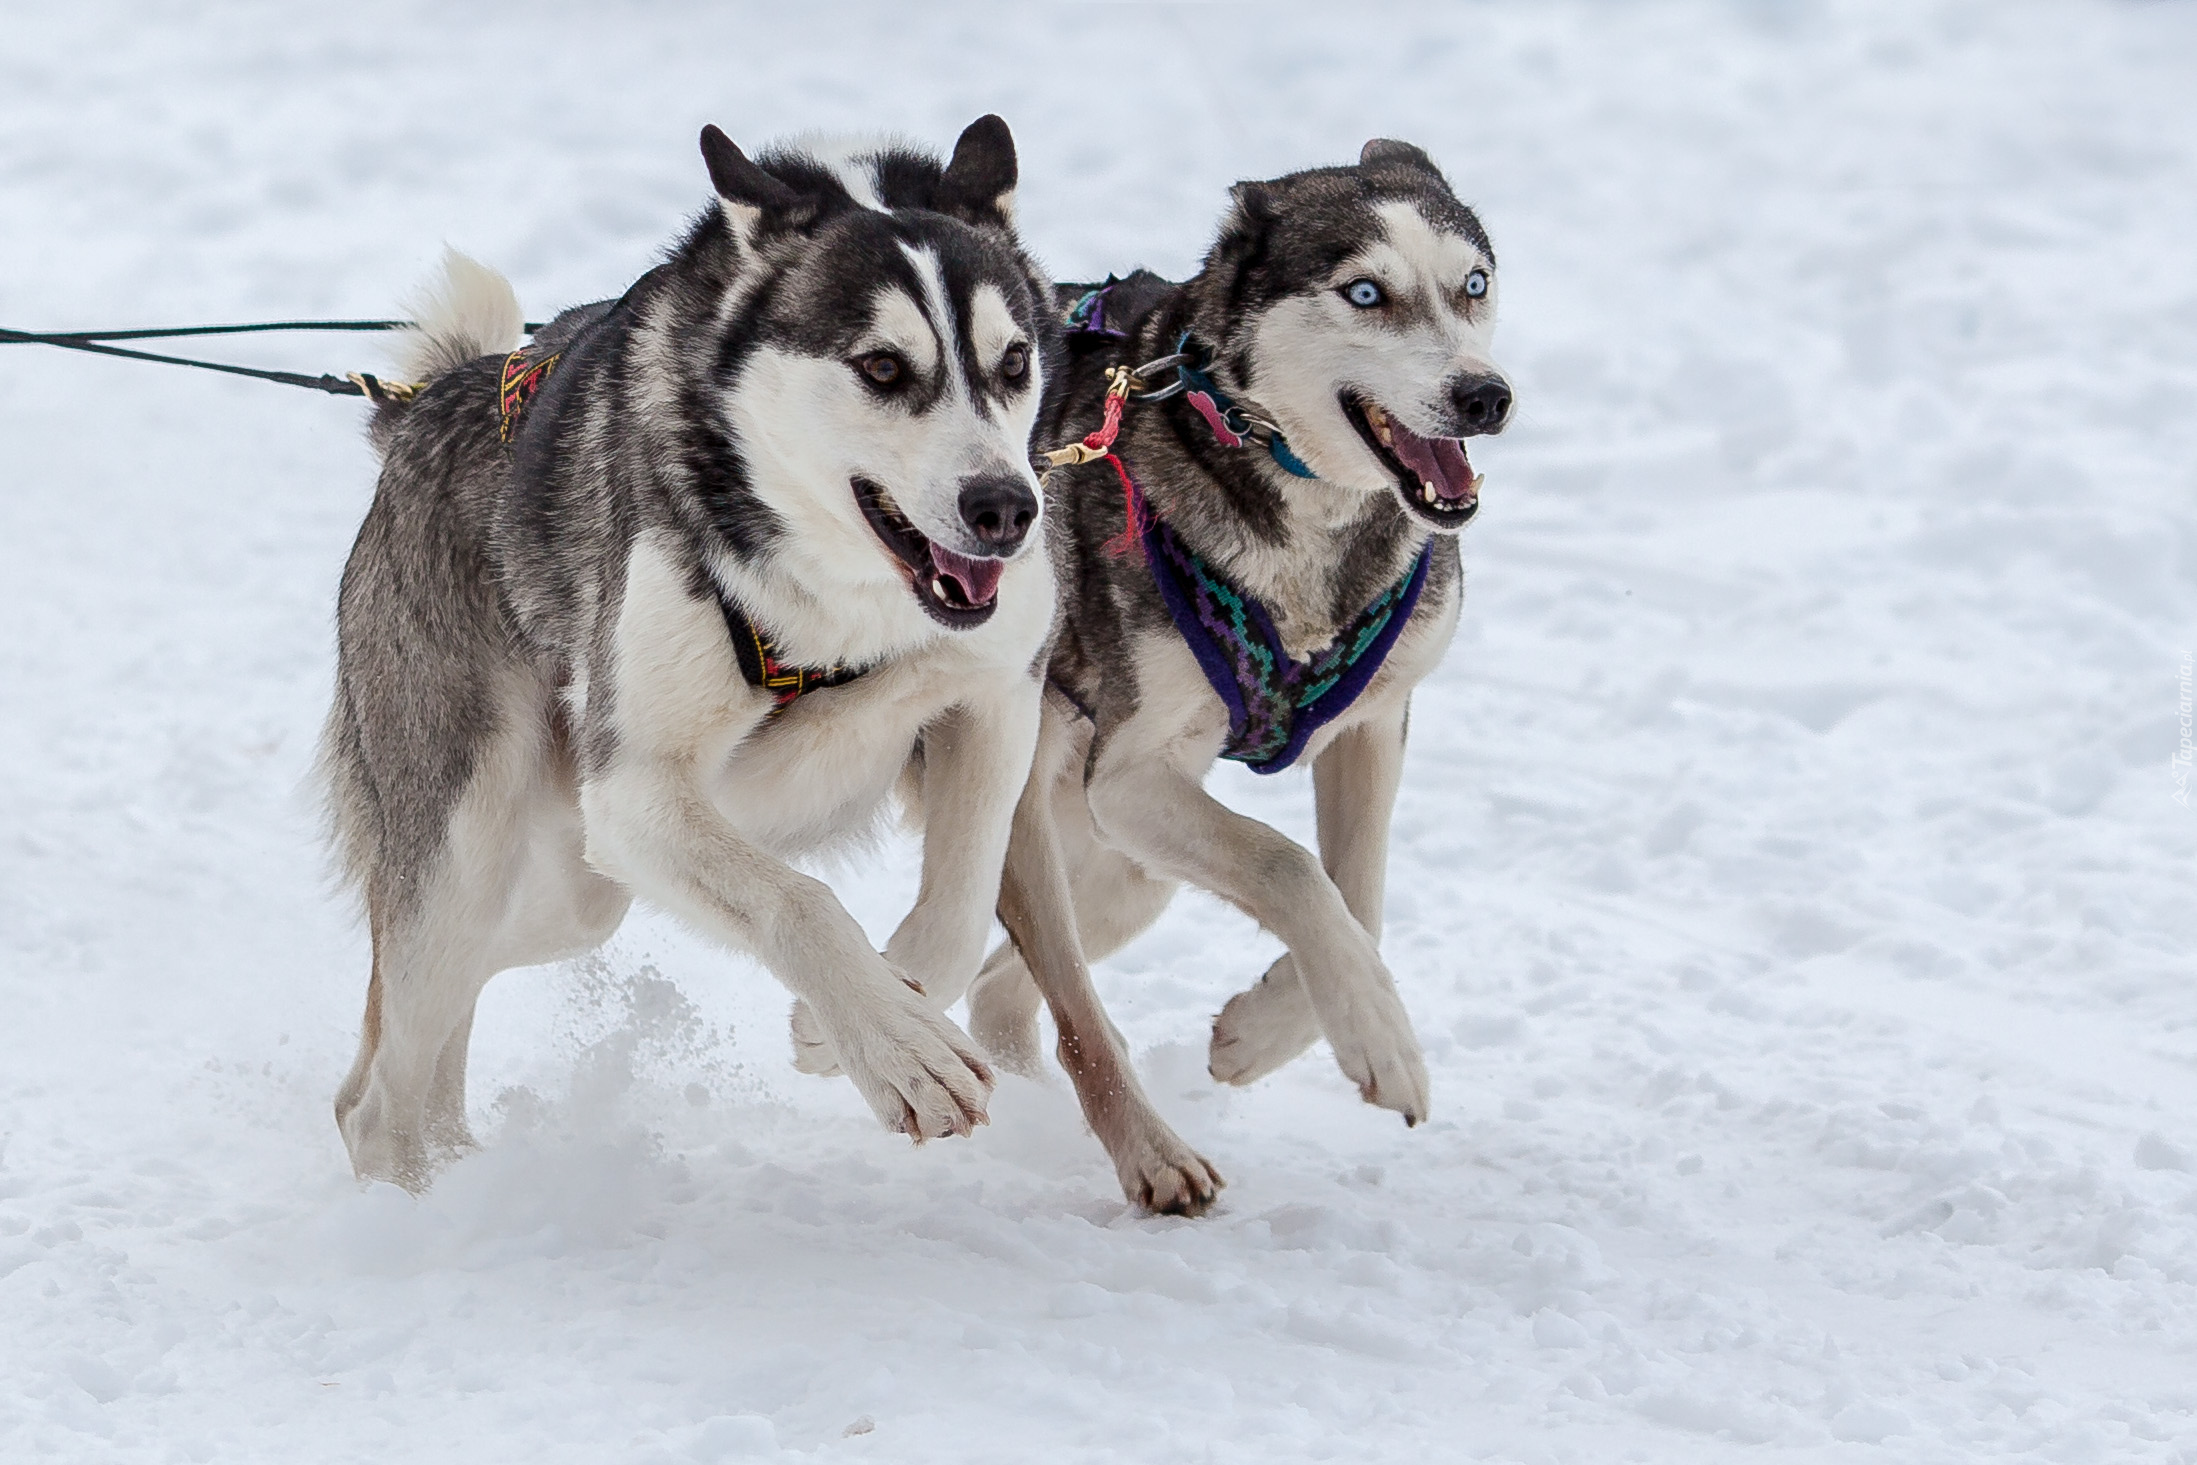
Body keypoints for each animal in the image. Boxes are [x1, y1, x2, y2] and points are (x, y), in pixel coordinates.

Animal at [320, 114, 1063, 1194]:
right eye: (883, 367)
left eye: (1013, 363)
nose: (1006, 508)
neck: (844, 611)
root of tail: (423, 405)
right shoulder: (635, 791)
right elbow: (800, 902)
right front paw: (893, 1043)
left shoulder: (994, 695)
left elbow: (963, 903)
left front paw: (864, 1012)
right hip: (470, 844)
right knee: (376, 1098)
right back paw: (414, 1207)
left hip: (572, 888)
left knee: (424, 1035)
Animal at [966, 140, 1511, 1212]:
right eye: (1366, 291)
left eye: (1472, 284)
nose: (1485, 396)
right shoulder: (1134, 777)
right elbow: (1289, 865)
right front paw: (1379, 1036)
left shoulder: (1373, 728)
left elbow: (1358, 896)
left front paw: (1262, 1033)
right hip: (1051, 822)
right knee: (1063, 1001)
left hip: (1125, 873)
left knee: (996, 989)